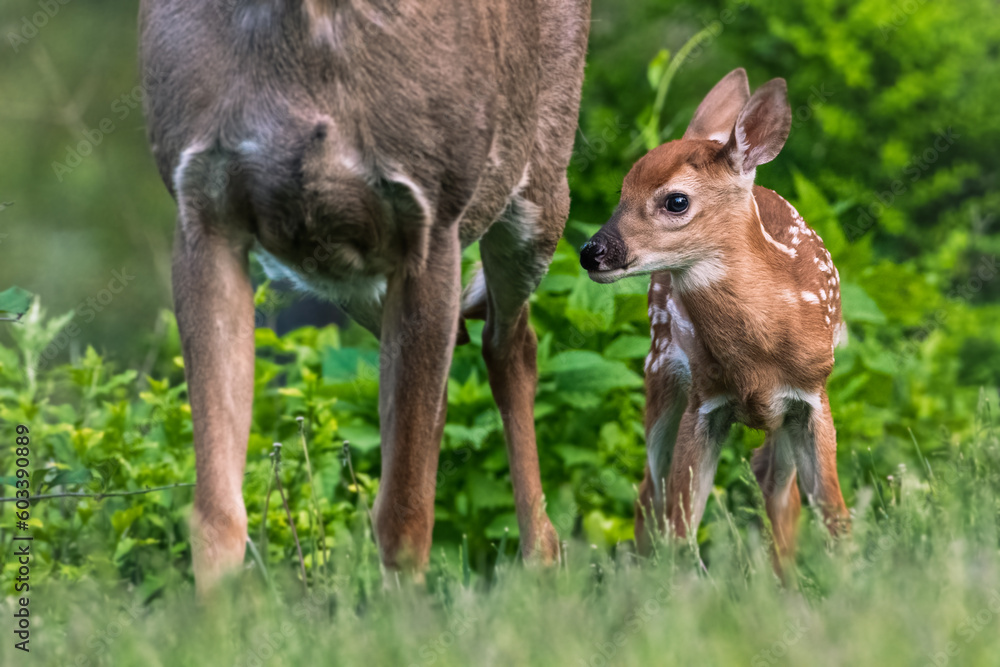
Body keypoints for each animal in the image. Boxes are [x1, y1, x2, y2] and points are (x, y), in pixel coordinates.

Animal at [139, 0, 590, 594]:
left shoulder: (432, 219)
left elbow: (403, 513)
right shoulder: (202, 210)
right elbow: (215, 510)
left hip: (536, 186)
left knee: (511, 345)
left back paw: (543, 563)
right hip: (347, 279)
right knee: (457, 359)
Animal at [579, 69, 849, 570]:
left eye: (676, 201)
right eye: (622, 191)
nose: (592, 252)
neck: (759, 358)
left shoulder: (812, 395)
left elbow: (832, 512)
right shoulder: (705, 400)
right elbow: (680, 526)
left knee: (776, 487)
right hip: (660, 366)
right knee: (649, 491)